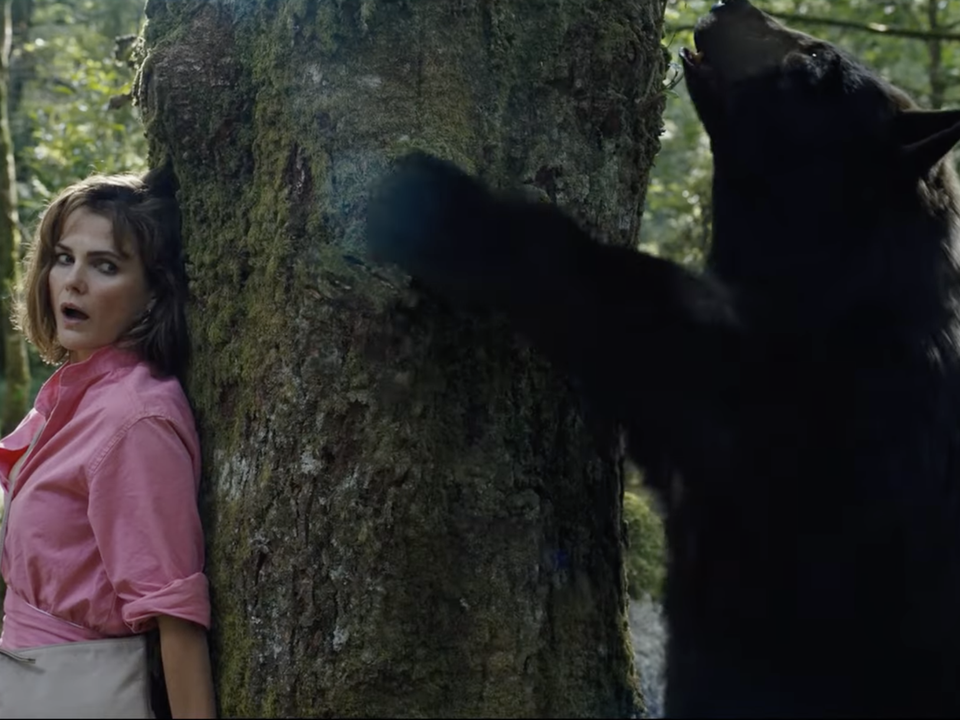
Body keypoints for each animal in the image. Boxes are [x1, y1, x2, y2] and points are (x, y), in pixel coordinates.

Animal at [364, 0, 960, 717]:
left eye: (815, 62)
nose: (731, 4)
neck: (843, 276)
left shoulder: (787, 405)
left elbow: (619, 303)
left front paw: (442, 209)